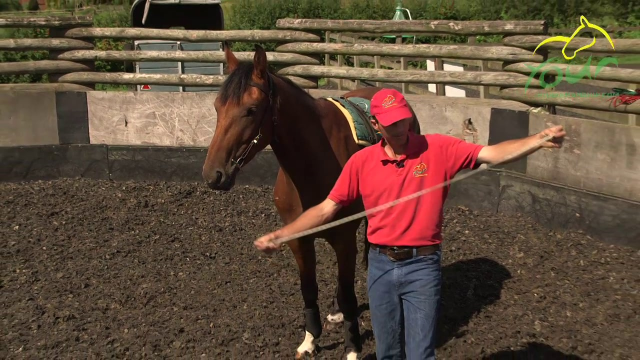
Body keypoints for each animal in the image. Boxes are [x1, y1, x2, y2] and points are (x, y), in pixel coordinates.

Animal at [201, 43, 420, 358]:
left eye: (251, 110)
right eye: (218, 107)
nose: (213, 175)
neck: (313, 161)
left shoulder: (343, 238)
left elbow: (349, 292)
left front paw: (352, 347)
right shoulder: (299, 240)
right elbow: (309, 289)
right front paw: (310, 339)